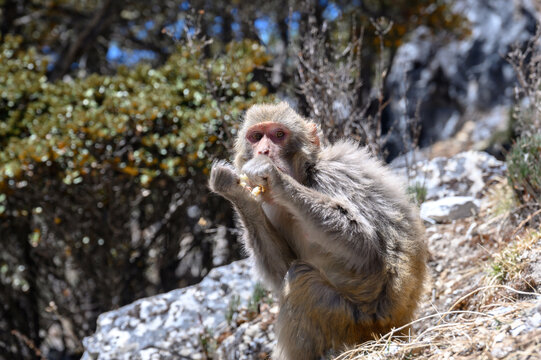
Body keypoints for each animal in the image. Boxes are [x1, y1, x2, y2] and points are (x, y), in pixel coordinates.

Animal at [210, 102, 426, 360]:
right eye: (256, 136)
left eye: (279, 134)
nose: (263, 150)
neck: (306, 175)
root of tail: (402, 324)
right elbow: (280, 270)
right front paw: (235, 191)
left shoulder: (334, 175)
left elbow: (366, 247)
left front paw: (275, 176)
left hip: (359, 322)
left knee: (302, 279)